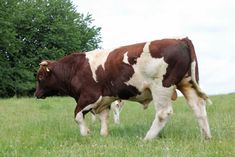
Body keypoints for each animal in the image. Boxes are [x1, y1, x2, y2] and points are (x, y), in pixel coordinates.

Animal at [35, 37, 213, 140]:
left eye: (40, 77)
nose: (36, 94)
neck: (75, 68)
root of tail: (180, 39)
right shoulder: (105, 99)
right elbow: (104, 117)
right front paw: (103, 135)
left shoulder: (89, 96)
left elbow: (77, 116)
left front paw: (86, 134)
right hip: (187, 83)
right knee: (199, 108)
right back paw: (206, 137)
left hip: (161, 86)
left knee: (163, 113)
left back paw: (148, 138)